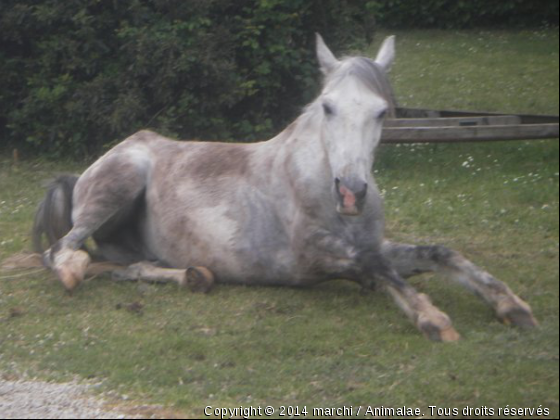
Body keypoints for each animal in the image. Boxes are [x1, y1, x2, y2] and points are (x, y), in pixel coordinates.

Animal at [31, 34, 540, 340]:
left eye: (381, 112)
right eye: (328, 106)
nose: (351, 192)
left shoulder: (375, 244)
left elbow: (440, 253)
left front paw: (511, 305)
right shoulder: (310, 257)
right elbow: (374, 265)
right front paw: (432, 318)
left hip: (131, 246)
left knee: (129, 267)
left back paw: (194, 276)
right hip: (119, 185)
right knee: (63, 252)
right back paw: (76, 269)